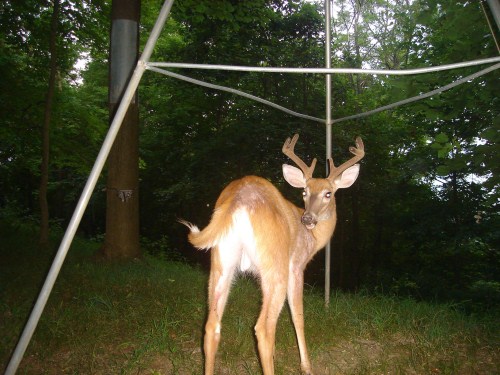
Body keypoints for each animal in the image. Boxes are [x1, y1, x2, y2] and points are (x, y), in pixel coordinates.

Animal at [180, 135, 364, 375]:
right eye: (304, 191)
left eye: (328, 193)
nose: (308, 218)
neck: (313, 238)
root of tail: (239, 199)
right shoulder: (296, 266)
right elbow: (297, 316)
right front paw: (306, 366)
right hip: (274, 266)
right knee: (263, 328)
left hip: (221, 262)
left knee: (211, 325)